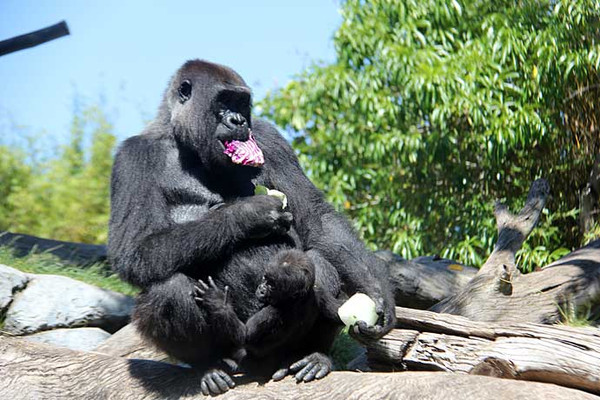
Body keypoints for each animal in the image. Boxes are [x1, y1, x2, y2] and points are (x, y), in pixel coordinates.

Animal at [195, 250, 330, 388]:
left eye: (272, 285)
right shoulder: (318, 291)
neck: (298, 297)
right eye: (265, 278)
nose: (261, 289)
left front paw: (216, 300)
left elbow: (244, 336)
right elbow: (332, 315)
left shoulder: (273, 311)